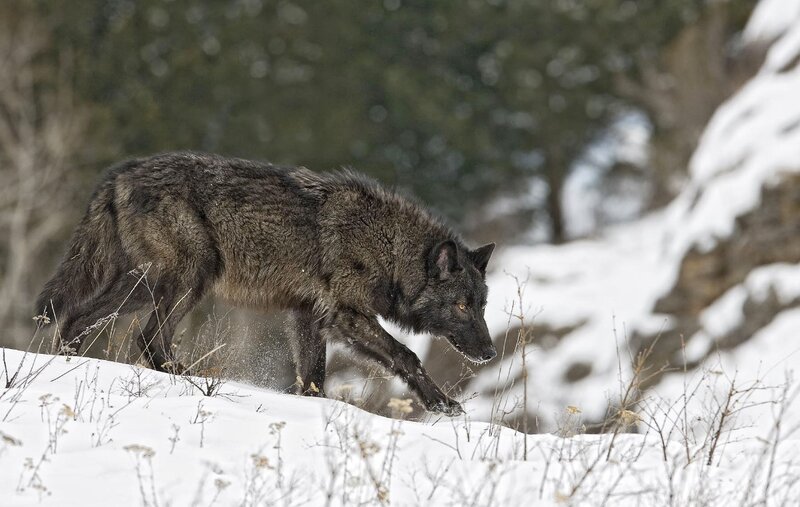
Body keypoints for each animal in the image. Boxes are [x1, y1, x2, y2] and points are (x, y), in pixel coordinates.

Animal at [36, 152, 497, 415]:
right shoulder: (346, 315)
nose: (491, 352)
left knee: (77, 318)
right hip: (189, 278)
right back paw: (197, 381)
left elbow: (313, 377)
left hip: (141, 284)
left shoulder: (309, 316)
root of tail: (118, 176)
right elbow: (406, 355)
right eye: (461, 306)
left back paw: (71, 365)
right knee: (149, 339)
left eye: (482, 306)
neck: (389, 245)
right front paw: (443, 403)